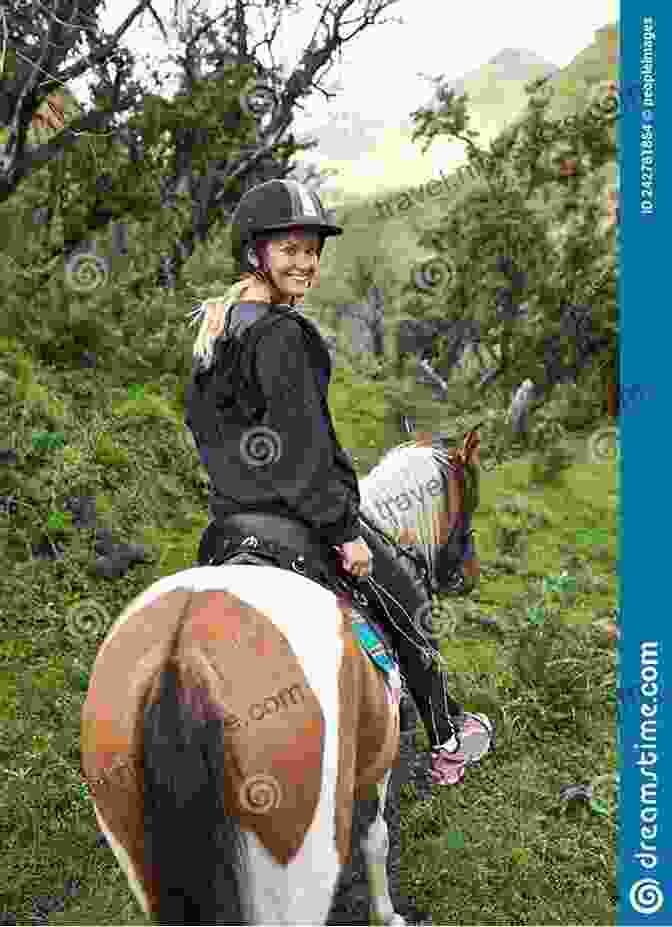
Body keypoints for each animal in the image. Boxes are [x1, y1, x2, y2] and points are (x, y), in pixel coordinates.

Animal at [81, 432, 480, 924]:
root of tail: (183, 657)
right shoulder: (377, 760)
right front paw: (388, 914)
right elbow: (376, 839)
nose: (466, 575)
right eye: (470, 498)